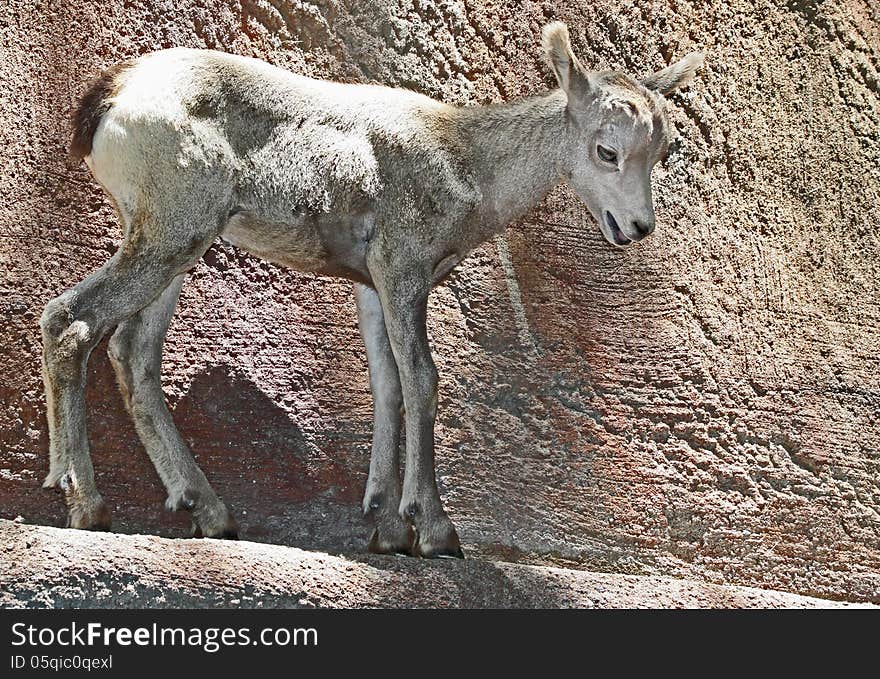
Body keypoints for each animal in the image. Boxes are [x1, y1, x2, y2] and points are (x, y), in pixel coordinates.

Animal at [44, 23, 704, 556]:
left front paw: (386, 529)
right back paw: (86, 505)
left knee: (132, 352)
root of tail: (108, 101)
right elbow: (423, 380)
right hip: (171, 234)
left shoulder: (370, 286)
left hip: (171, 244)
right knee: (70, 321)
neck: (469, 165)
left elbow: (386, 387)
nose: (637, 227)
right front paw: (434, 532)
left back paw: (208, 513)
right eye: (607, 149)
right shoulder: (402, 266)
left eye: (662, 149)